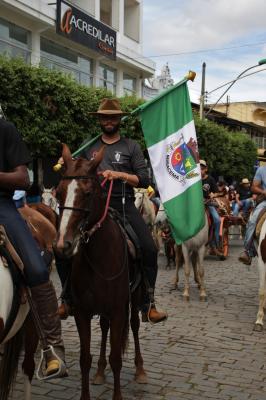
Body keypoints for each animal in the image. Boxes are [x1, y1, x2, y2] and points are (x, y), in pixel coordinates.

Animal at [54, 145, 145, 400]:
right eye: (58, 193)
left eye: (87, 193)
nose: (62, 245)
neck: (98, 256)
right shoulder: (82, 312)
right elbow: (85, 359)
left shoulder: (117, 311)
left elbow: (117, 359)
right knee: (104, 328)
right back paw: (100, 371)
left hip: (133, 299)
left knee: (135, 325)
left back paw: (140, 369)